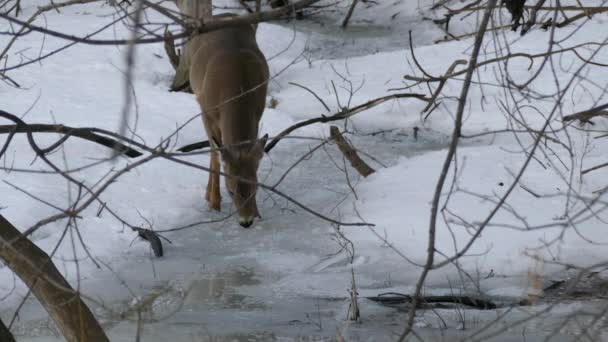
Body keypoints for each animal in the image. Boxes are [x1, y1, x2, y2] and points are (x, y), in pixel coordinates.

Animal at [186, 13, 270, 228]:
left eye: (255, 188)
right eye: (231, 191)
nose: (246, 222)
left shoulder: (258, 112)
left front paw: (258, 213)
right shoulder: (206, 111)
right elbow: (216, 155)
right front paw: (214, 202)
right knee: (213, 151)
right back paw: (209, 195)